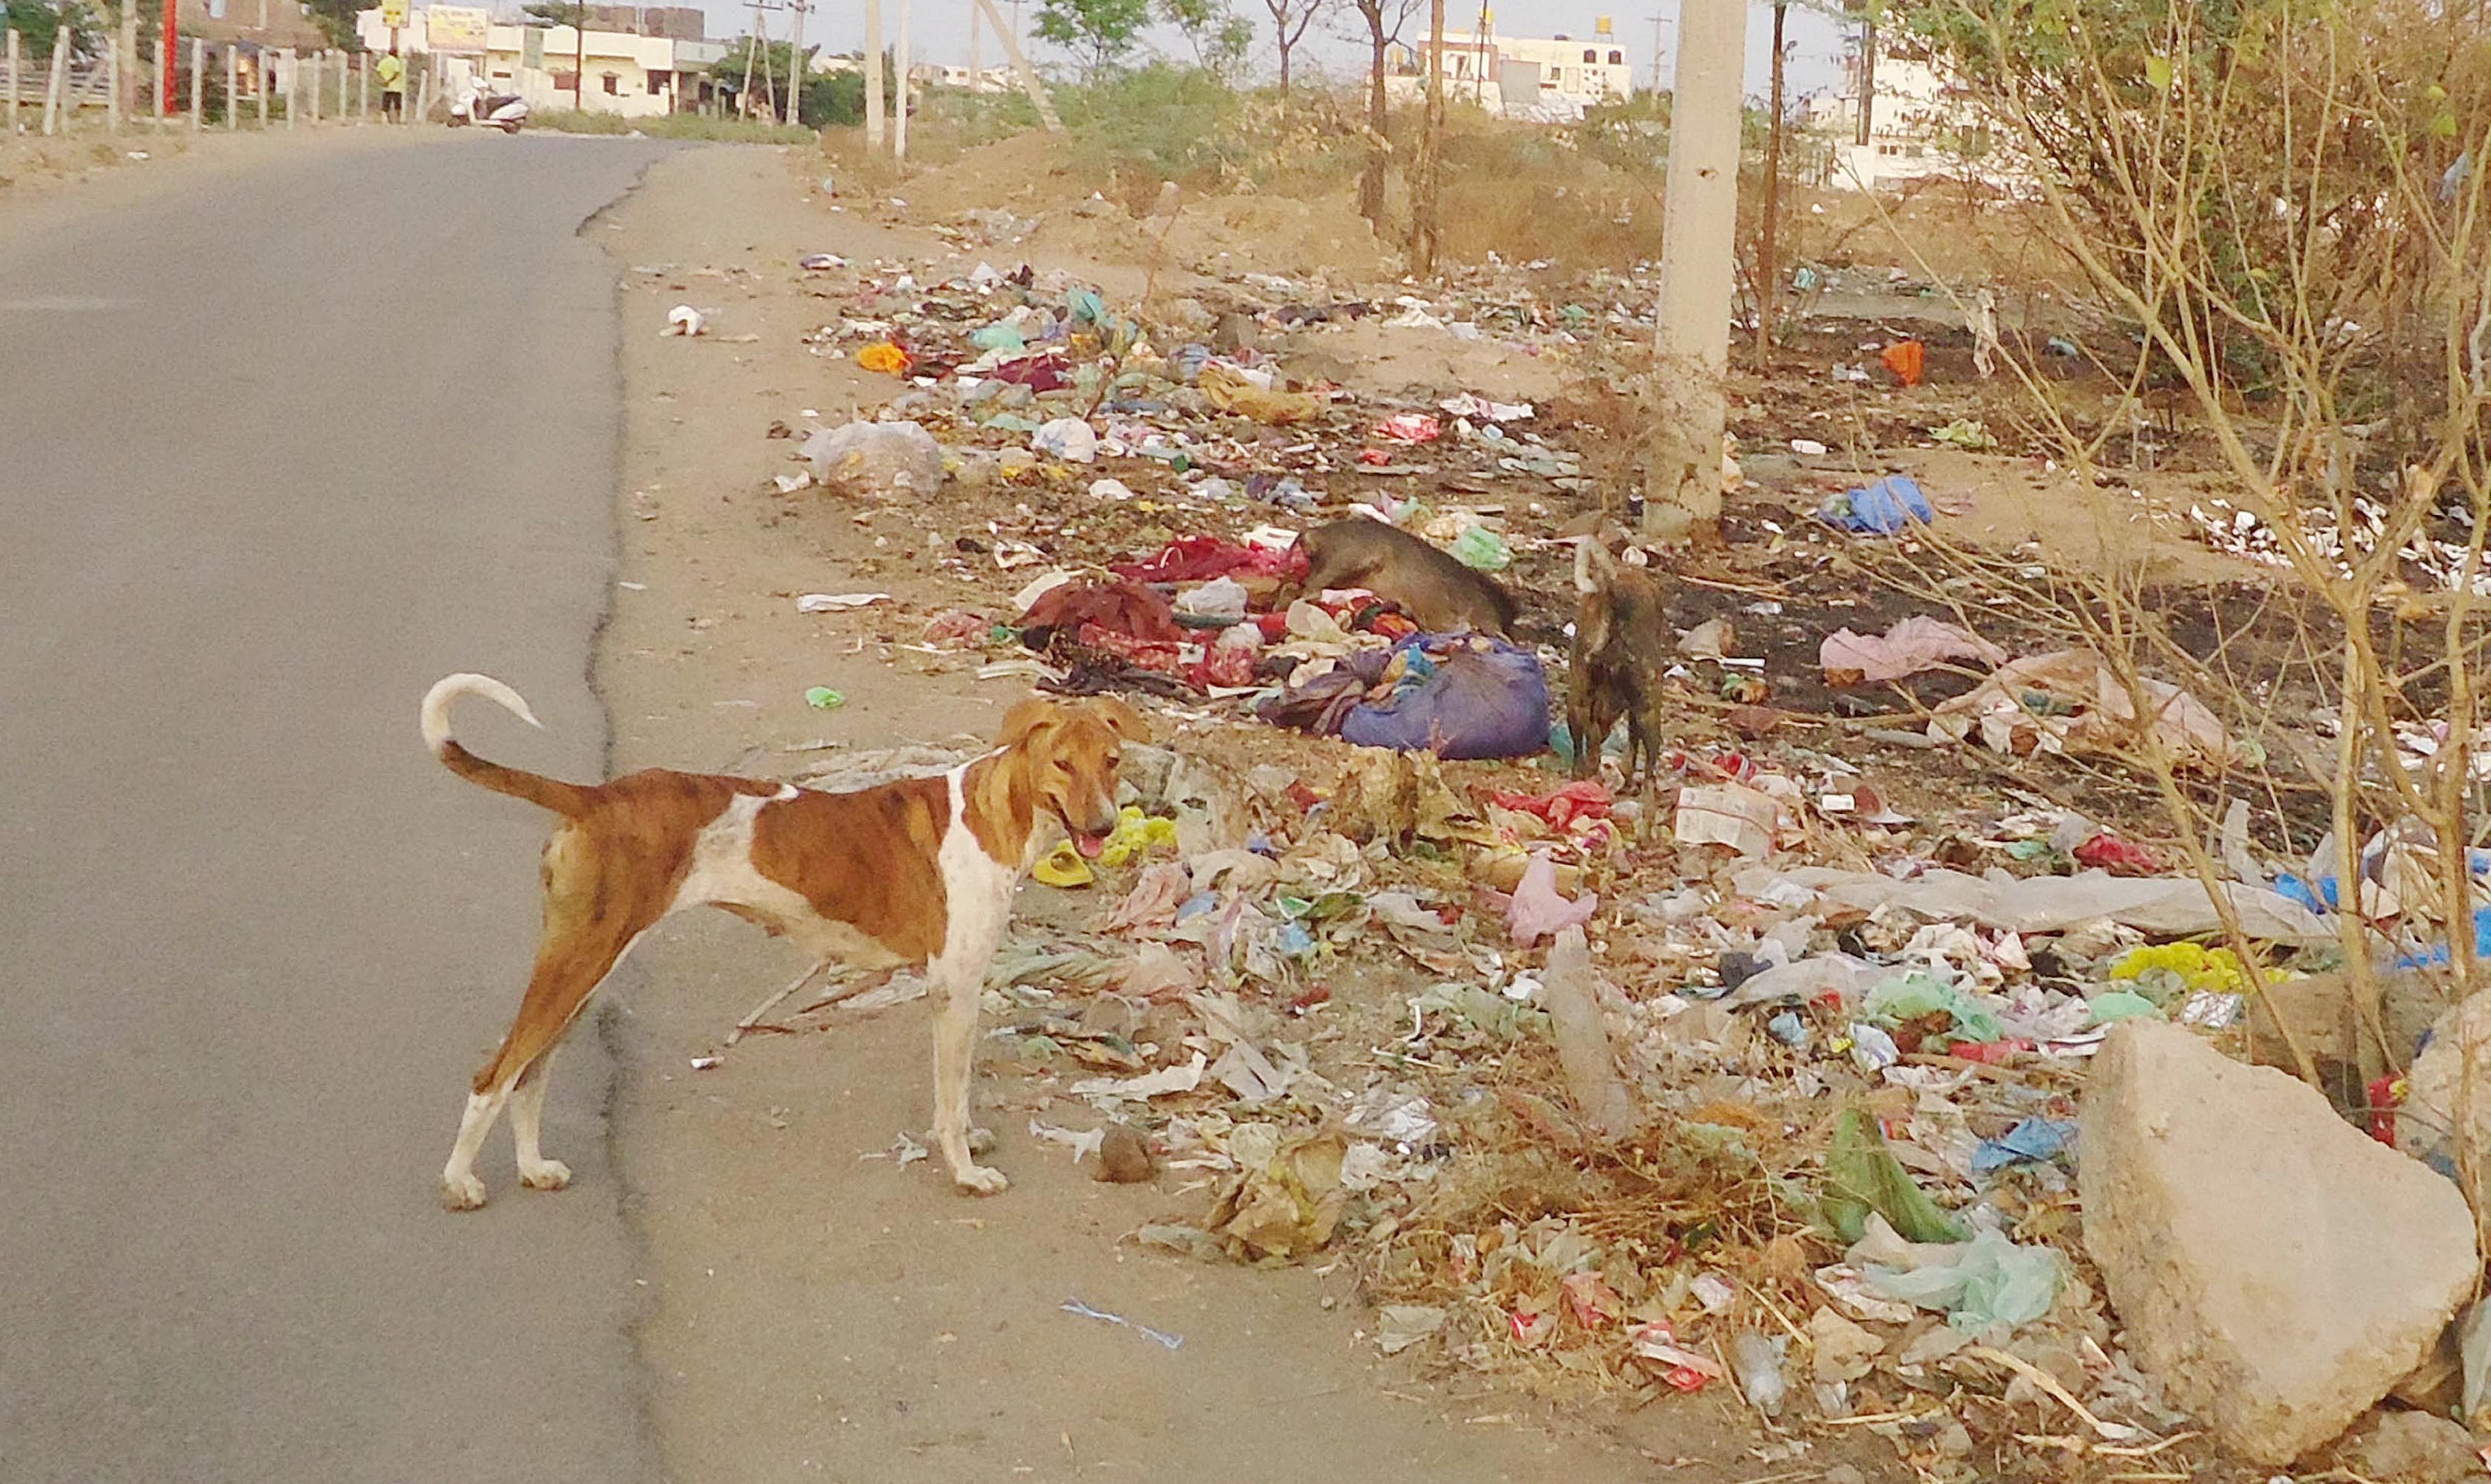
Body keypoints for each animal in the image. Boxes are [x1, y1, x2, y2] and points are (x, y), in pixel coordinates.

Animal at [423, 672, 1141, 1205]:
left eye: (1112, 762)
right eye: (1062, 764)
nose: (1105, 826)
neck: (999, 813)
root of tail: (595, 796)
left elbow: (958, 1100)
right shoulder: (953, 989)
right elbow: (951, 1098)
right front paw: (964, 1171)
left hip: (586, 970)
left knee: (529, 1074)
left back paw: (534, 1167)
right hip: (578, 961)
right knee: (495, 1074)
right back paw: (460, 1181)